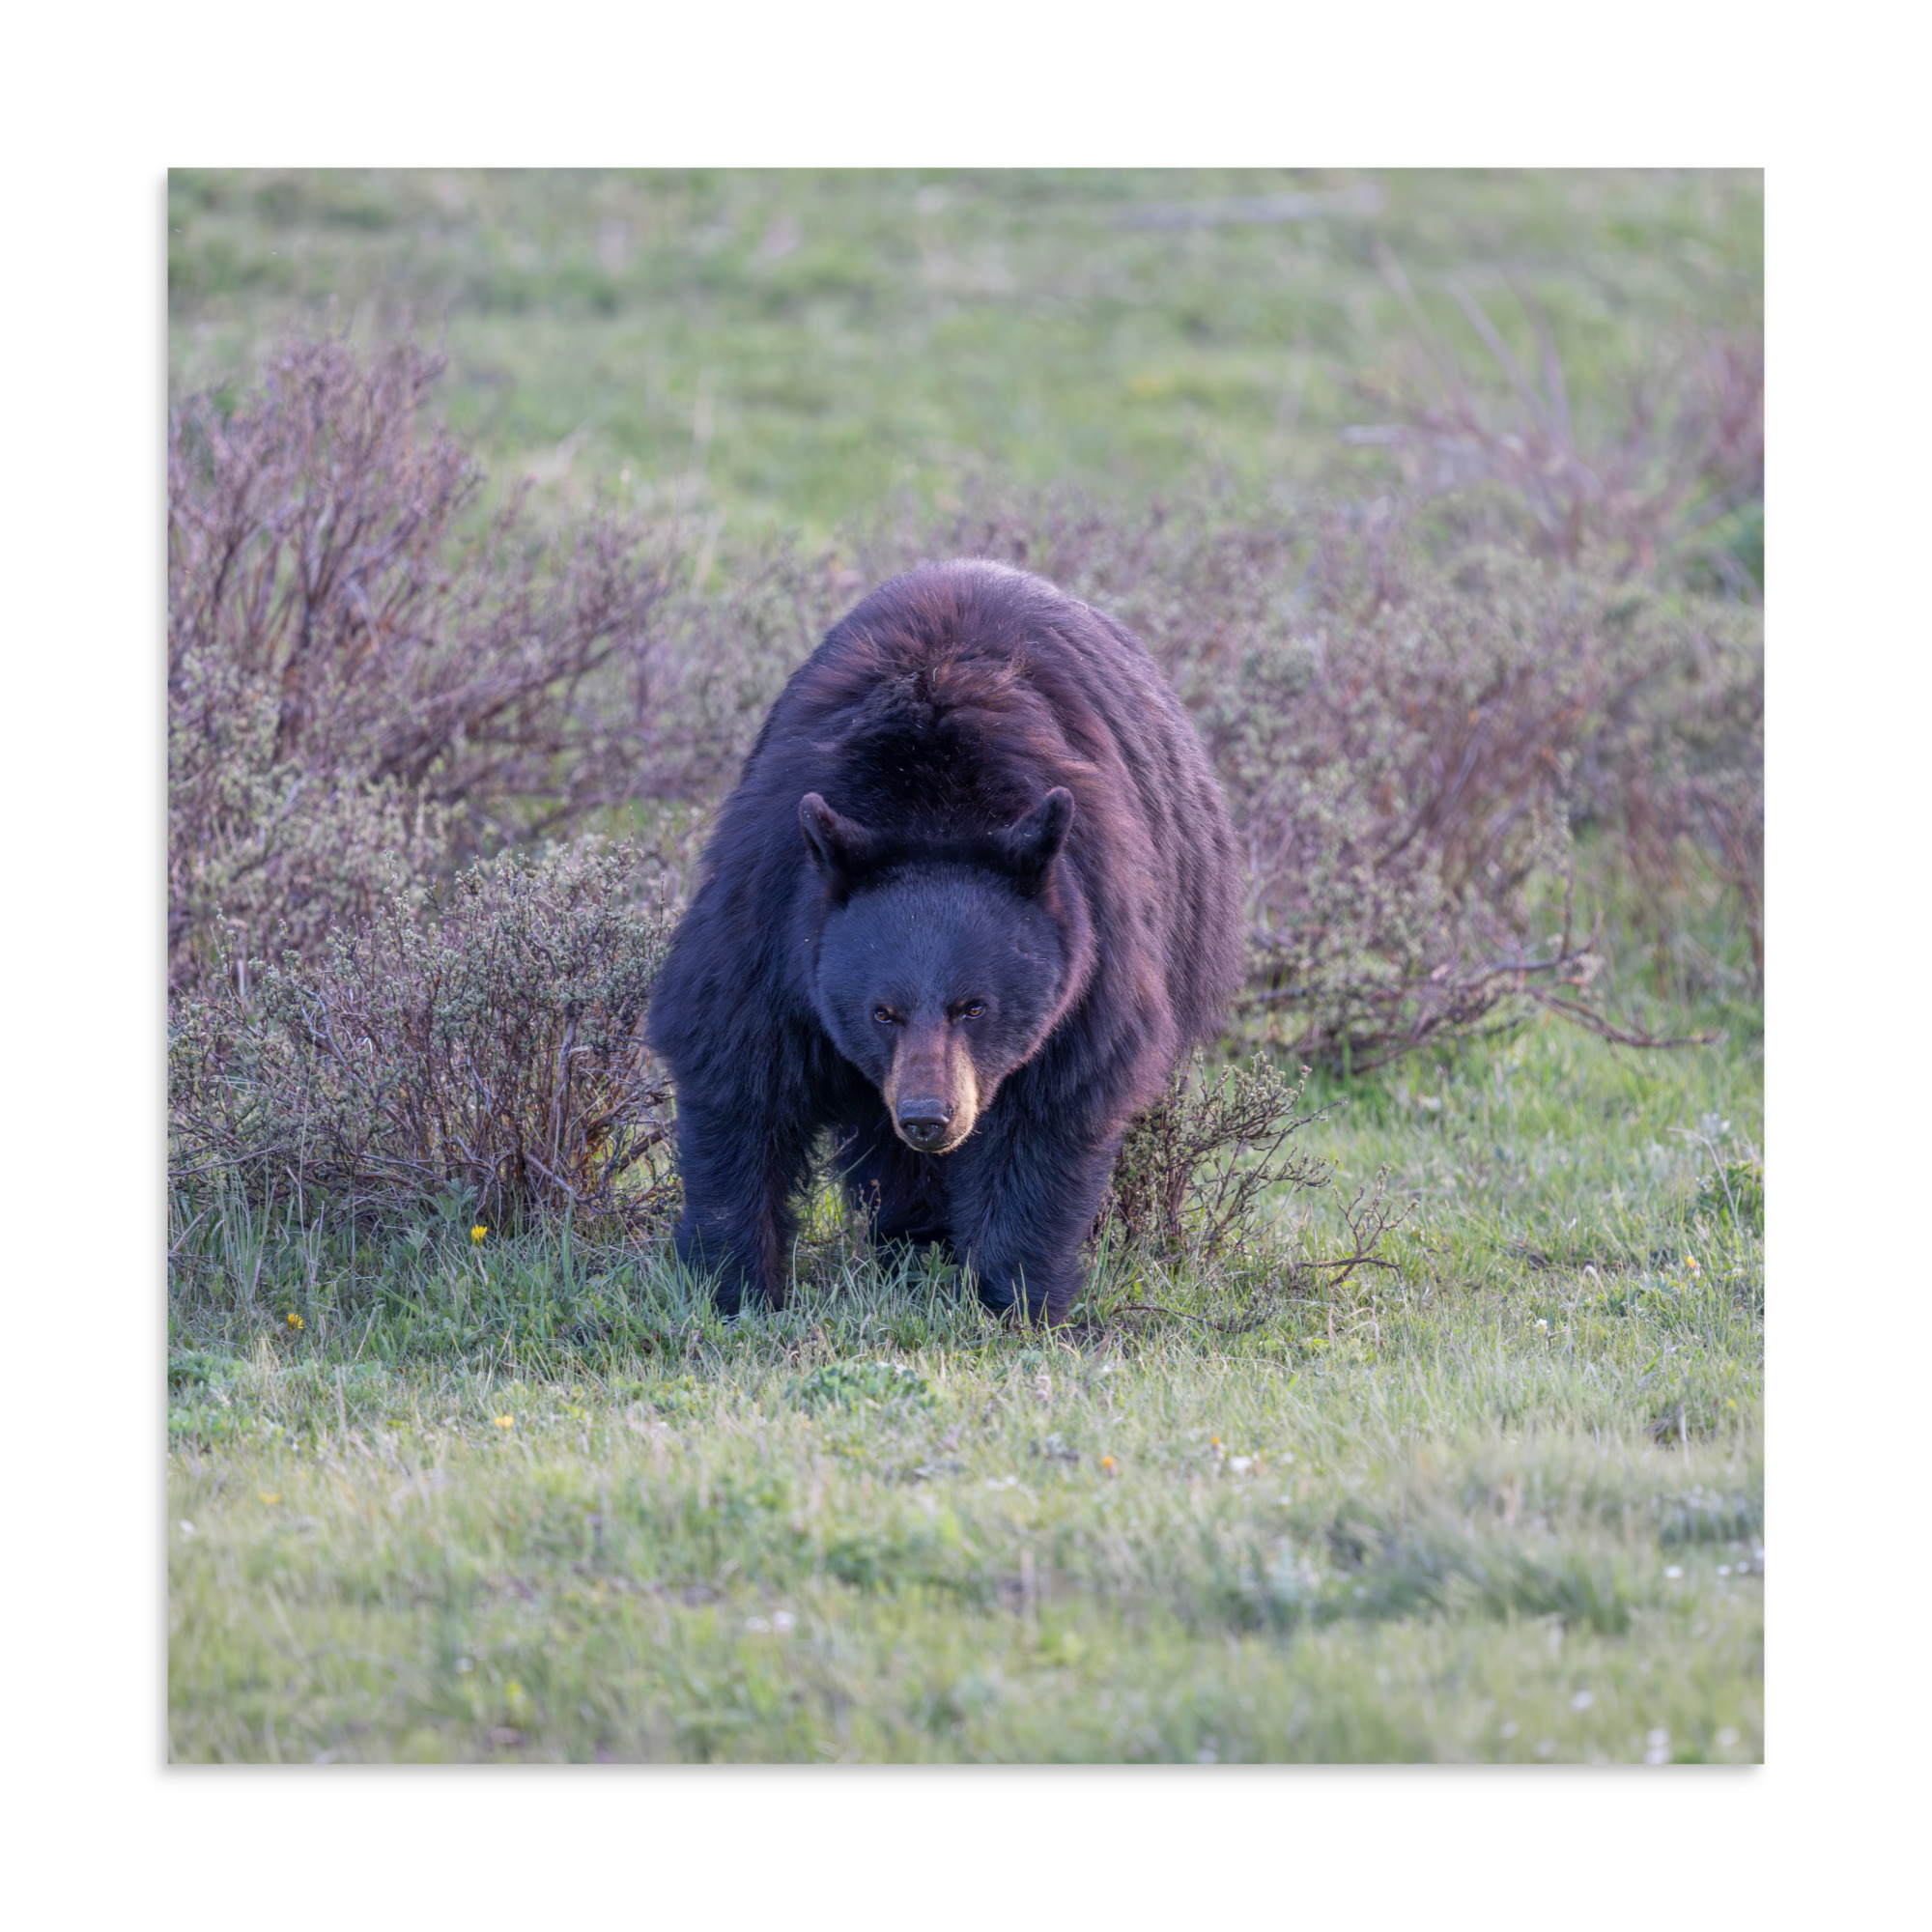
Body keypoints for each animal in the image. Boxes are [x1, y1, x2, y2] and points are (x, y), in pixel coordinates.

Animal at [645, 558, 1244, 1322]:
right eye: (882, 1012)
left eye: (975, 1006)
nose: (930, 1118)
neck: (930, 804)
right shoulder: (772, 911)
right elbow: (737, 1070)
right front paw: (735, 1284)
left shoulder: (1094, 939)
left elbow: (1052, 1108)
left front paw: (1017, 1297)